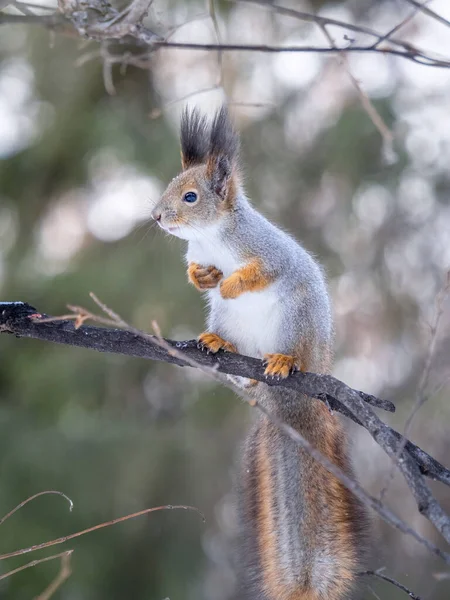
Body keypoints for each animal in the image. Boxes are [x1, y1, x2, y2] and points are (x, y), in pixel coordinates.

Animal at [151, 108, 370, 600]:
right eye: (171, 185)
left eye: (190, 196)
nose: (155, 216)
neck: (213, 237)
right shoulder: (196, 254)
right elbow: (194, 272)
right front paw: (205, 277)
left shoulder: (269, 255)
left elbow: (260, 272)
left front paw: (232, 282)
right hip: (228, 322)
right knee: (240, 364)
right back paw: (223, 347)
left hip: (295, 322)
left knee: (291, 352)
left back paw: (285, 361)